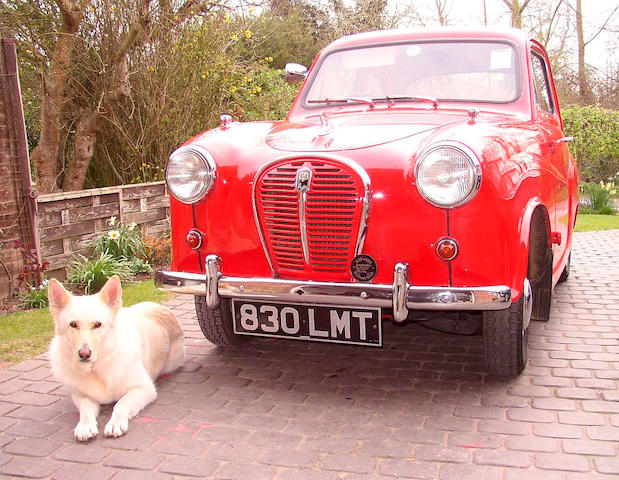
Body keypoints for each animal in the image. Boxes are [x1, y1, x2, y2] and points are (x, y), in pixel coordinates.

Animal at [48, 276, 185, 440]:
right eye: (73, 324)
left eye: (98, 324)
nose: (84, 354)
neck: (97, 369)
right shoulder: (81, 395)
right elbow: (86, 410)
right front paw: (85, 426)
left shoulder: (144, 389)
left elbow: (121, 403)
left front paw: (115, 423)